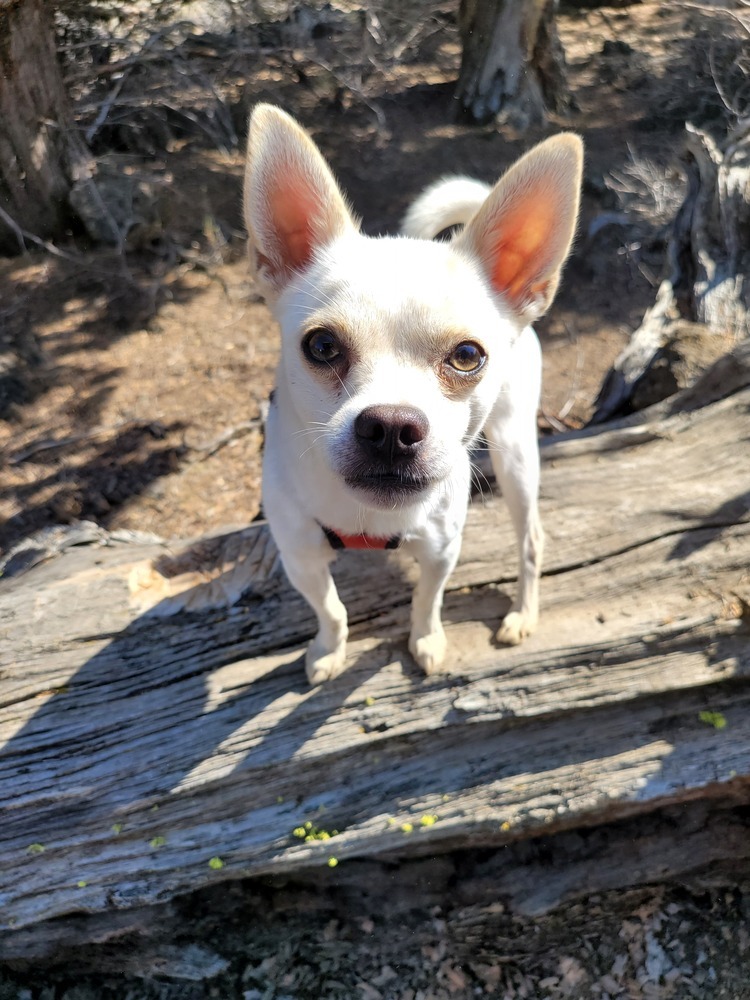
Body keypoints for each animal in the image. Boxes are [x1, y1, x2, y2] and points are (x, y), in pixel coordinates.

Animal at [244, 105, 584, 684]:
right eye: (322, 346)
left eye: (467, 356)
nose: (390, 427)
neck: (368, 522)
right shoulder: (300, 557)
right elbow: (331, 608)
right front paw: (329, 650)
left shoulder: (442, 548)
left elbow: (427, 599)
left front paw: (425, 640)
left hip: (515, 451)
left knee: (531, 540)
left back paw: (522, 614)